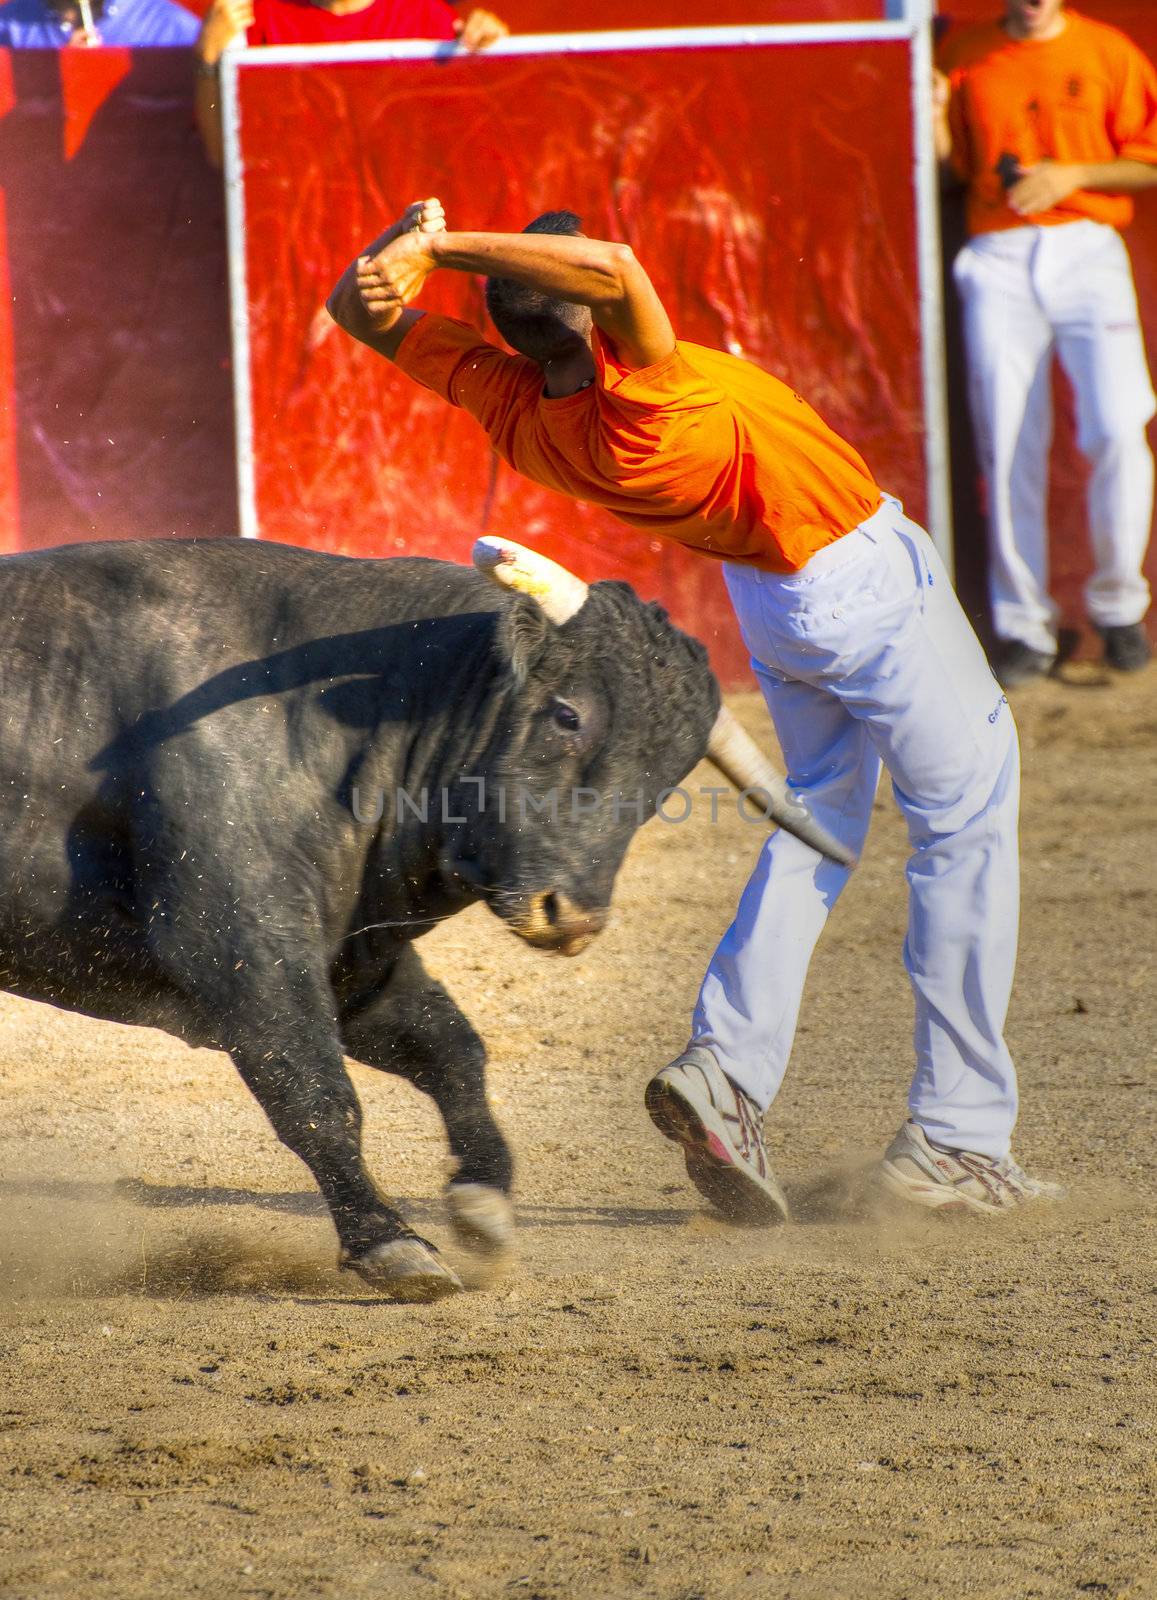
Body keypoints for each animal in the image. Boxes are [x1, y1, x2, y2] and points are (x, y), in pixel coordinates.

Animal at [0, 537, 723, 1299]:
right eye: (568, 716)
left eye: (672, 773)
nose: (573, 917)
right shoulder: (242, 950)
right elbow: (314, 1092)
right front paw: (390, 1242)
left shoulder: (353, 957)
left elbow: (450, 1049)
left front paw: (482, 1204)